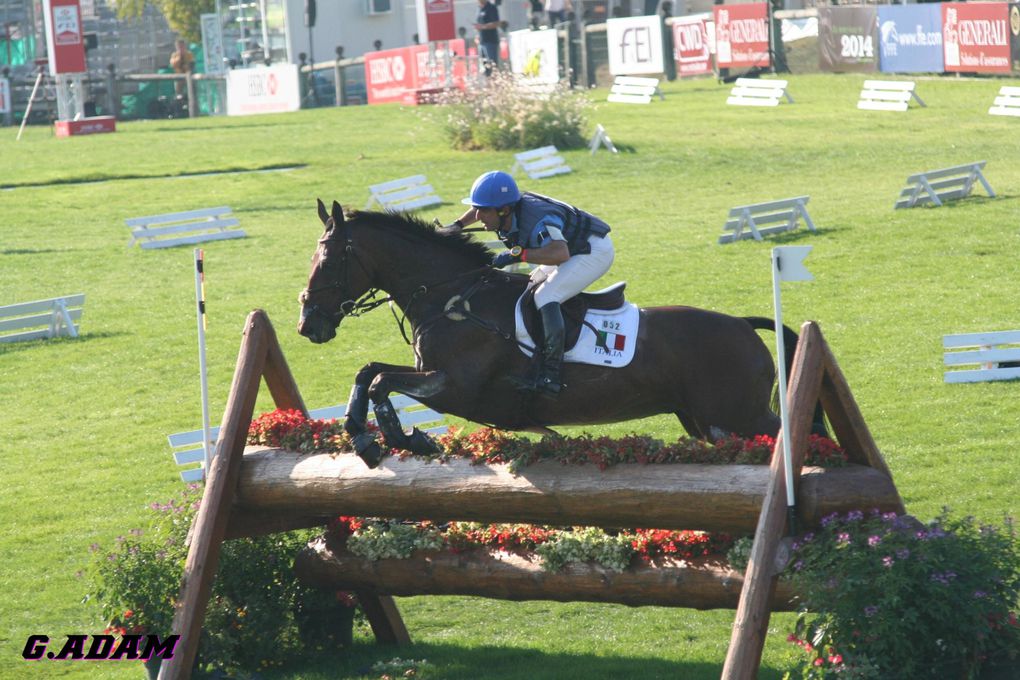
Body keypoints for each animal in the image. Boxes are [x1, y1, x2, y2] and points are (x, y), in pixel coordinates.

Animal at [297, 200, 811, 468]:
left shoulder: (456, 387)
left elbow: (383, 383)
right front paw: (362, 438)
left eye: (329, 259)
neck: (452, 297)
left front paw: (405, 438)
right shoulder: (432, 374)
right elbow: (369, 373)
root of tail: (742, 325)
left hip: (740, 413)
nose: (308, 325)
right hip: (709, 422)